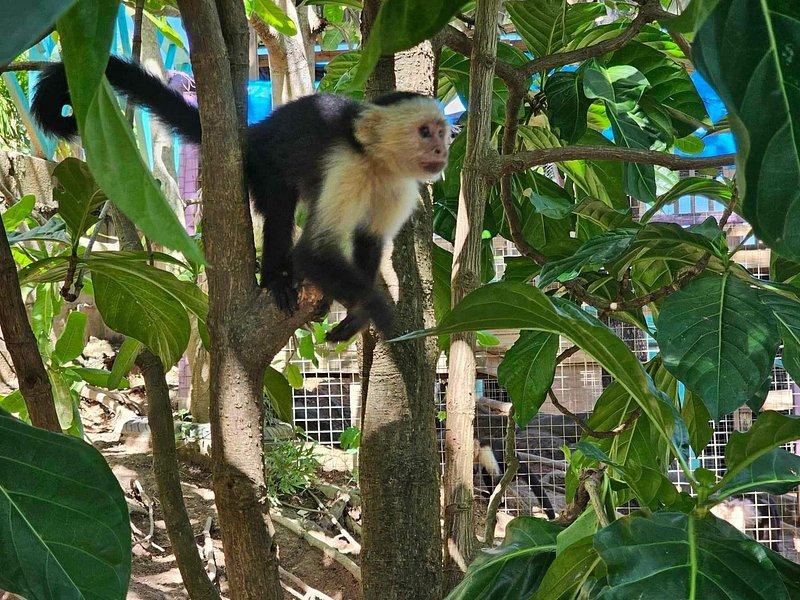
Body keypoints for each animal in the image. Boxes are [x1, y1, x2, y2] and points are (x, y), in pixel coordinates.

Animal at [30, 56, 451, 342]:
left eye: (442, 131)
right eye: (424, 131)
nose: (442, 149)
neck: (377, 162)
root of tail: (256, 131)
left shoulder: (402, 186)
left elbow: (369, 241)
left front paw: (358, 314)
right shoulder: (347, 167)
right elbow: (315, 251)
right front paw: (377, 308)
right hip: (265, 165)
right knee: (280, 211)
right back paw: (277, 280)